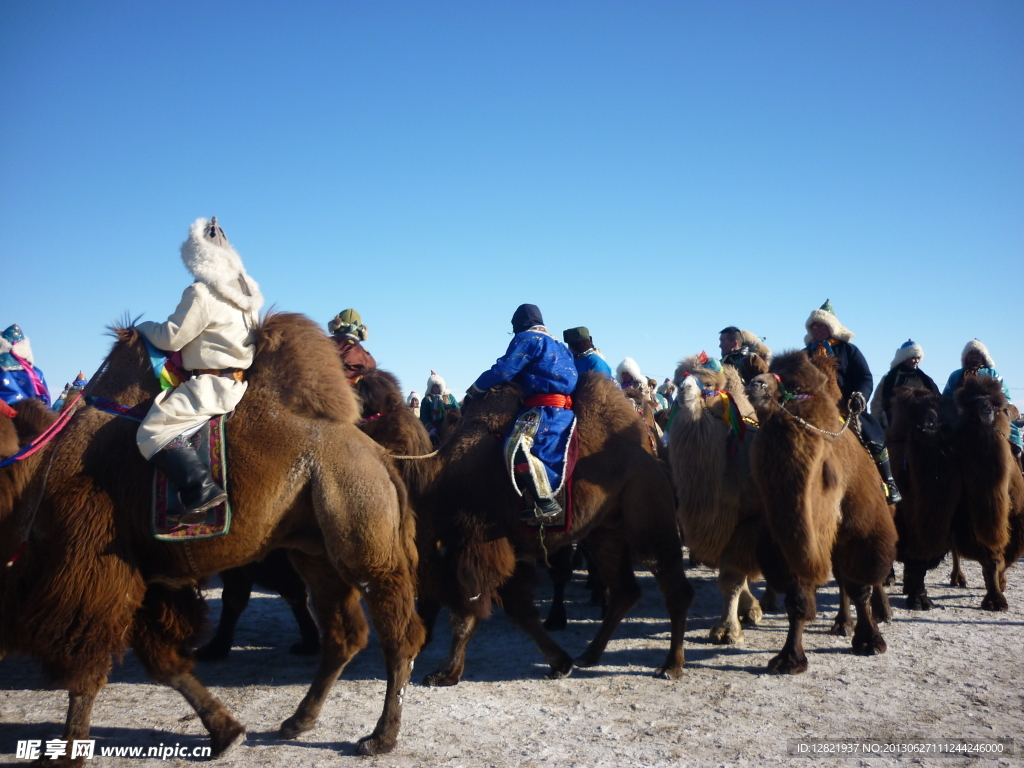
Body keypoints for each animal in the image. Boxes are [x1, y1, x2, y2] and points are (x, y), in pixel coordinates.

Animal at [0, 313, 423, 765]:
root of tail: (380, 457)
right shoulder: (146, 578)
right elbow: (165, 665)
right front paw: (225, 732)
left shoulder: (92, 567)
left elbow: (84, 668)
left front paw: (69, 751)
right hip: (314, 552)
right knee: (345, 635)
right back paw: (299, 720)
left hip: (363, 542)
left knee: (399, 635)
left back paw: (380, 737)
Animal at [417, 370, 696, 684]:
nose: (419, 639)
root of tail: (653, 455)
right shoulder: (502, 553)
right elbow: (517, 609)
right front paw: (560, 662)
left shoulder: (476, 546)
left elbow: (467, 614)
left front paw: (445, 673)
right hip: (606, 532)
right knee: (625, 590)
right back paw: (589, 655)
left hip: (648, 515)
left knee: (672, 585)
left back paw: (671, 665)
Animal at [667, 358, 765, 647]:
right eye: (679, 381)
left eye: (708, 384)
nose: (685, 390)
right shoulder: (720, 523)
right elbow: (729, 578)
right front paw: (740, 616)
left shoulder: (748, 520)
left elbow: (732, 578)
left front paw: (727, 631)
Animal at [745, 352, 897, 675]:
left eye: (795, 387)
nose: (756, 384)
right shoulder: (787, 537)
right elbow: (797, 598)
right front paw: (789, 659)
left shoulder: (859, 532)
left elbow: (861, 586)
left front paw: (870, 641)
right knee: (840, 578)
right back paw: (842, 623)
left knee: (873, 574)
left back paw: (883, 611)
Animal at [950, 376, 1024, 610]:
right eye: (969, 410)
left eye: (1001, 408)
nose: (985, 408)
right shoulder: (973, 519)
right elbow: (990, 558)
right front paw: (995, 600)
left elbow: (1006, 557)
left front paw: (1002, 584)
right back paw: (957, 578)